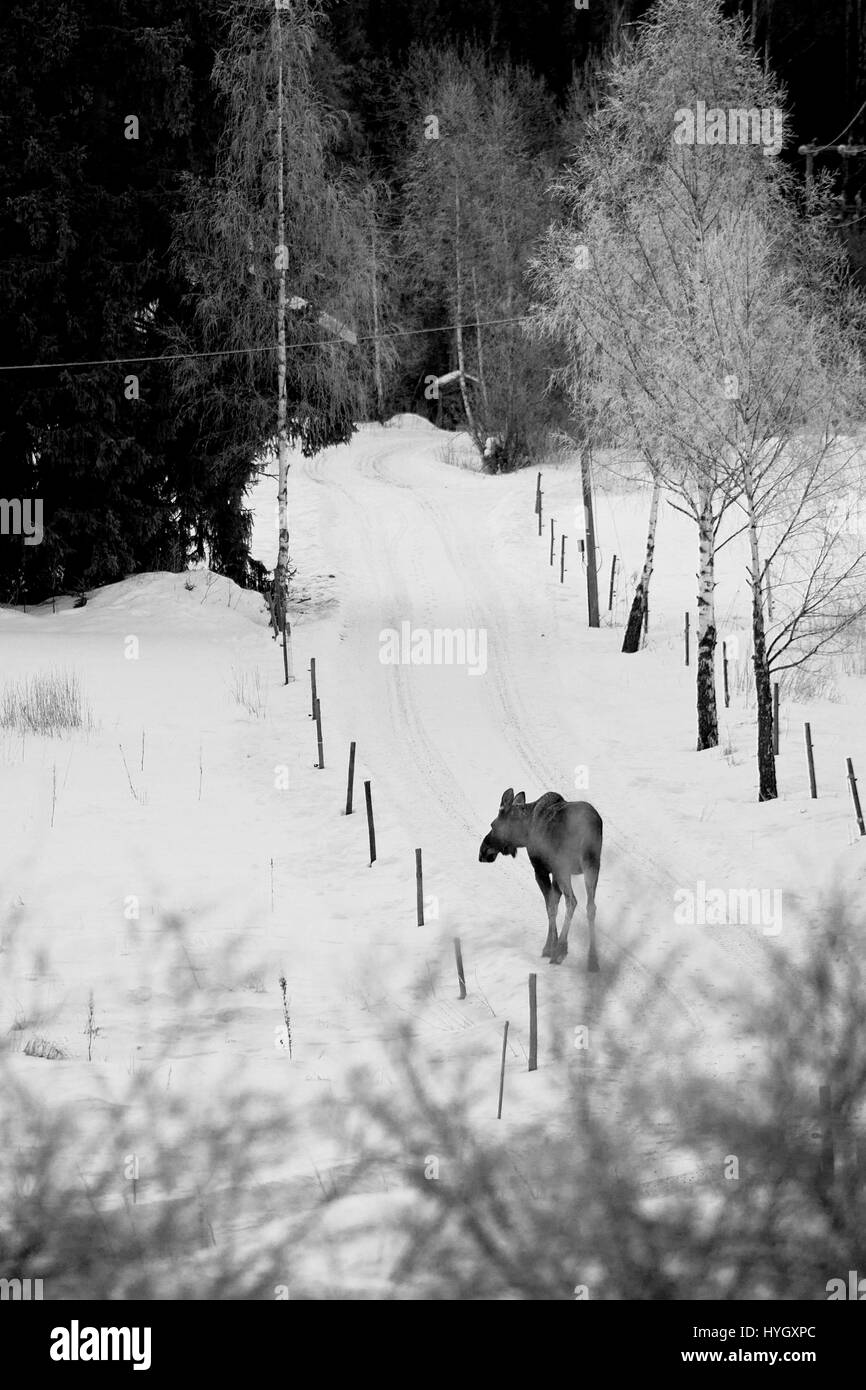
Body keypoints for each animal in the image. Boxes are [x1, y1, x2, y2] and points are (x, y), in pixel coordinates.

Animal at [480, 789, 603, 973]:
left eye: (493, 825)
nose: (482, 851)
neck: (524, 832)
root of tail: (587, 825)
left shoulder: (541, 870)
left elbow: (550, 906)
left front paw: (549, 948)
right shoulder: (555, 873)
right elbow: (554, 903)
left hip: (564, 866)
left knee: (572, 901)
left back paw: (560, 951)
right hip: (592, 864)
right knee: (591, 906)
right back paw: (593, 960)